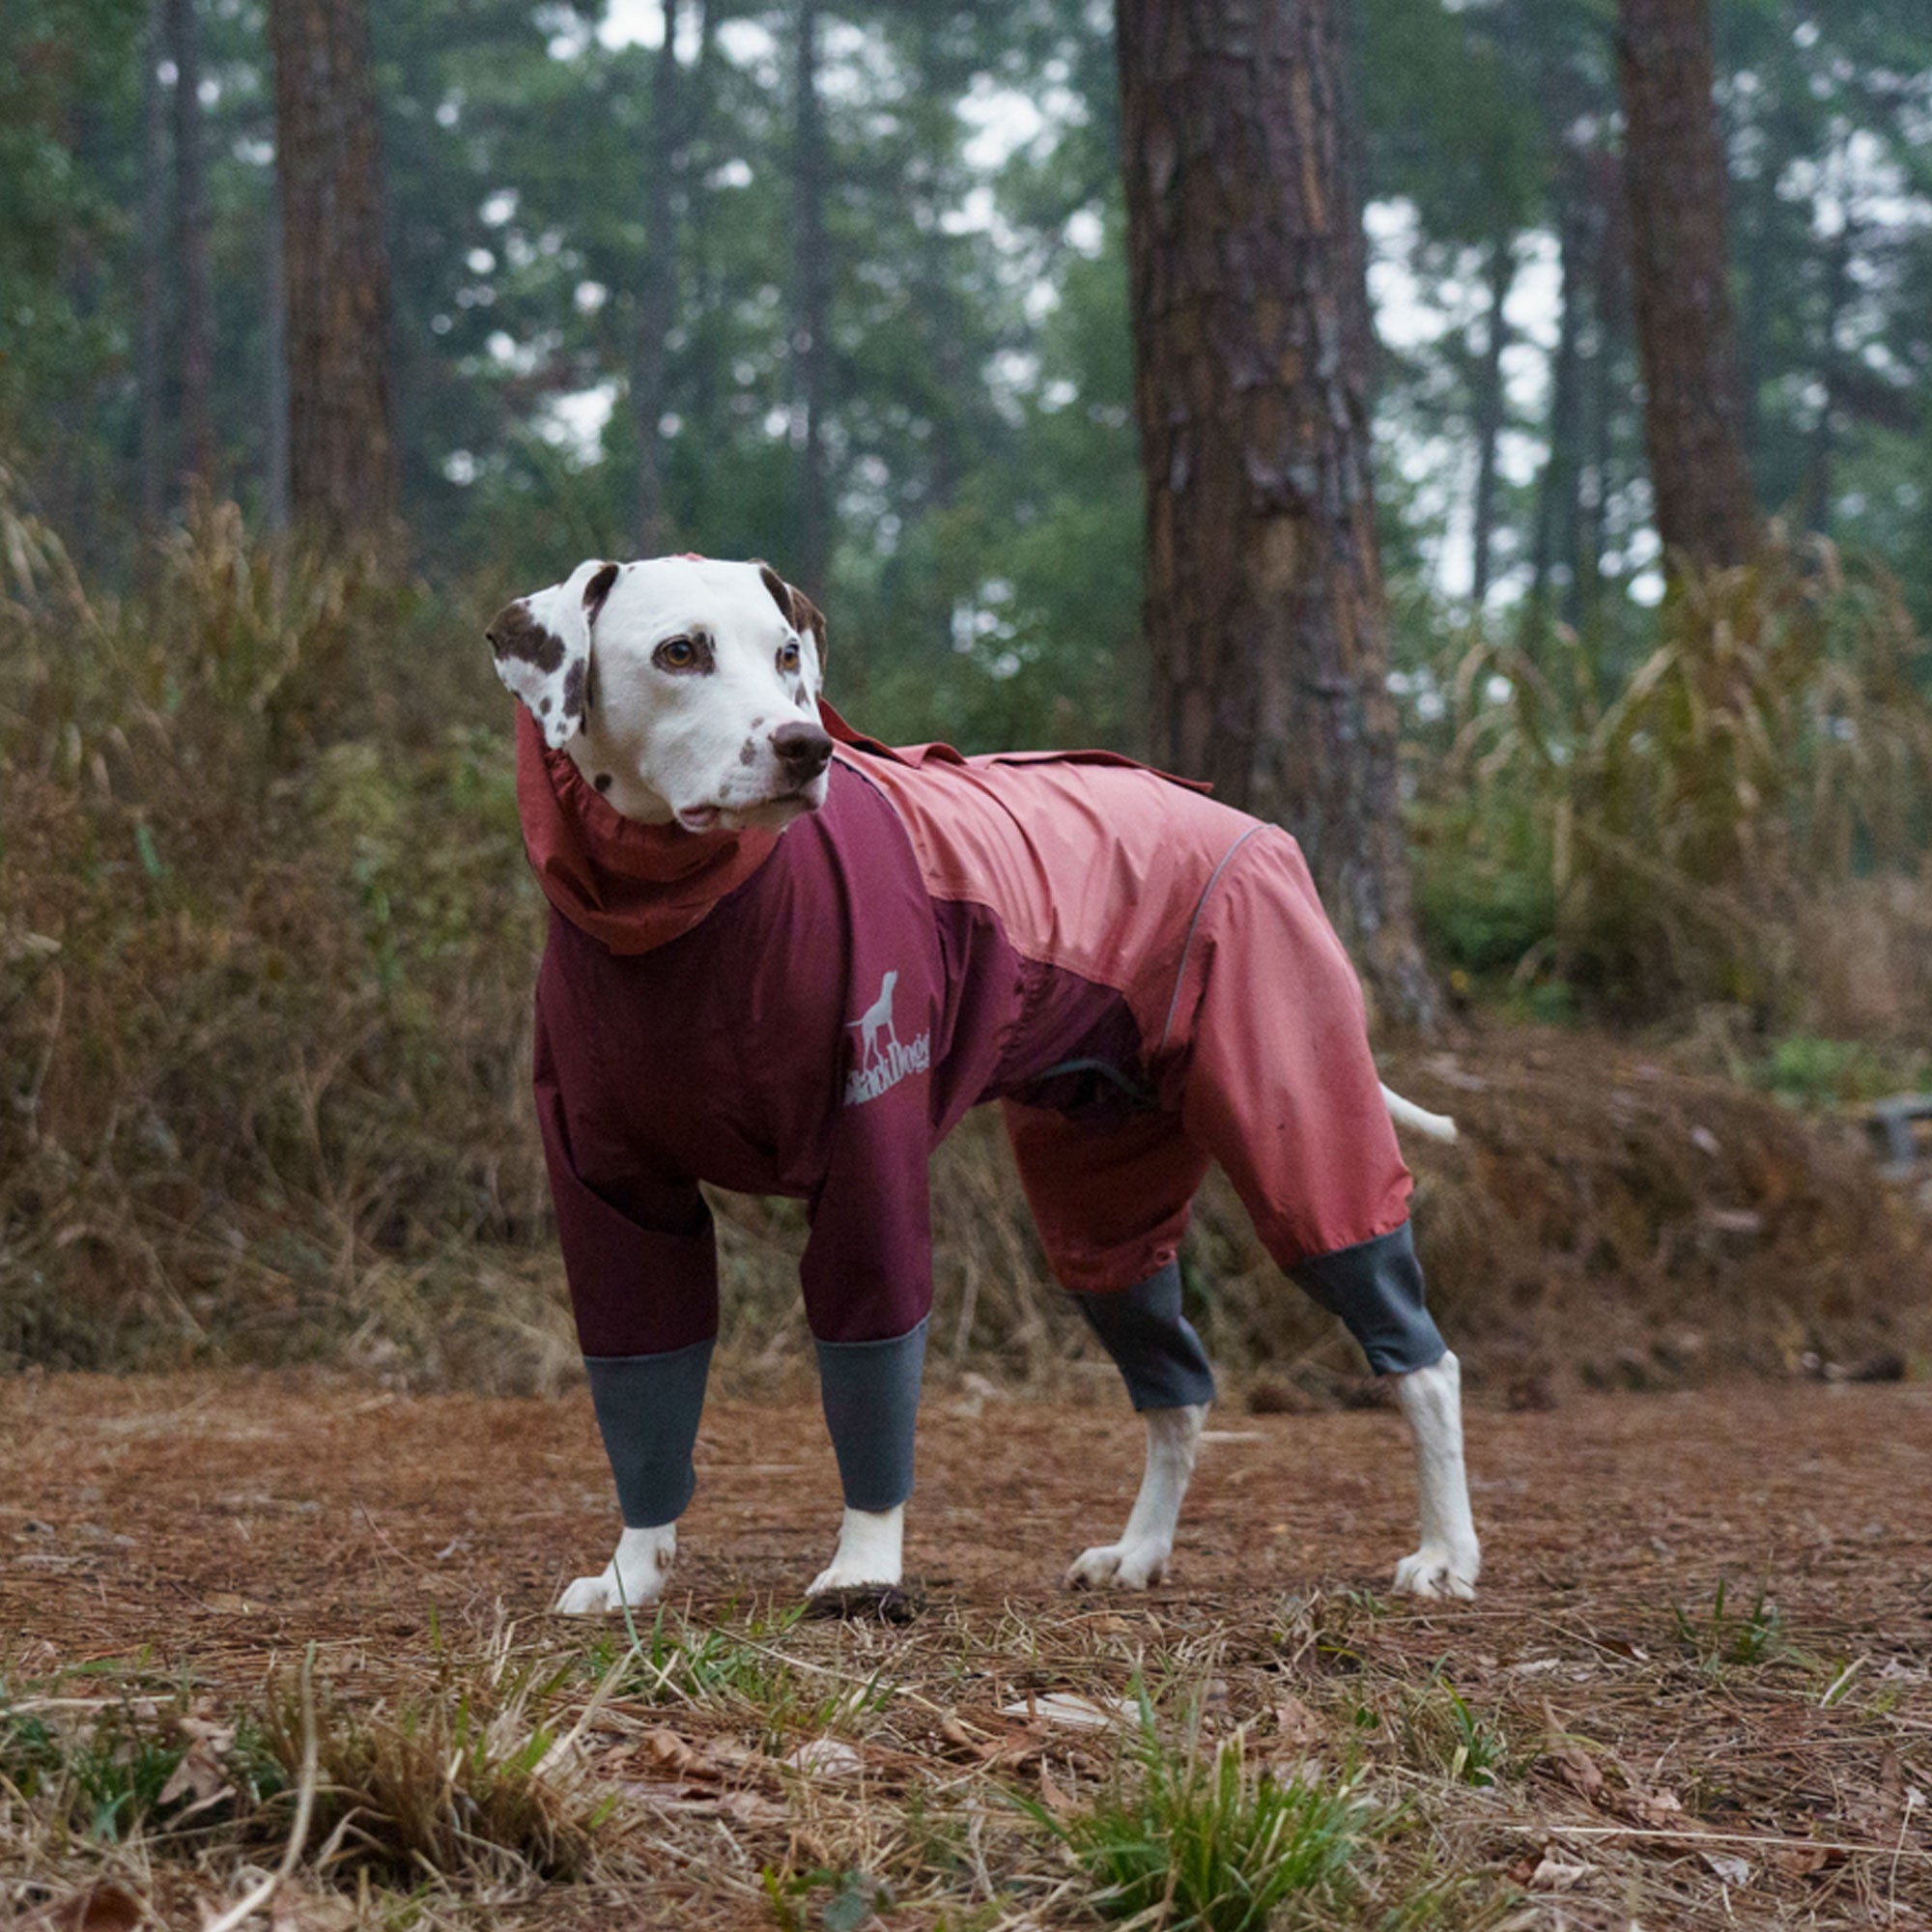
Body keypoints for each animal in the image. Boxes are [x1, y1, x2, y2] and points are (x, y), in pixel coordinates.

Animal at [491, 556, 1484, 1615]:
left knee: (1421, 1356)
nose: (805, 745)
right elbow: (643, 1383)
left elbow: (873, 1369)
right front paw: (630, 1572)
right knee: (1176, 1386)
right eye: (679, 651)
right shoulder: (615, 1200)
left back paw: (1445, 1551)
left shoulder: (871, 1169)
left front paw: (865, 1568)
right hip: (1101, 1223)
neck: (682, 908)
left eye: (788, 654)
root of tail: (1256, 828)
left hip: (1304, 1145)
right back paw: (1139, 1549)